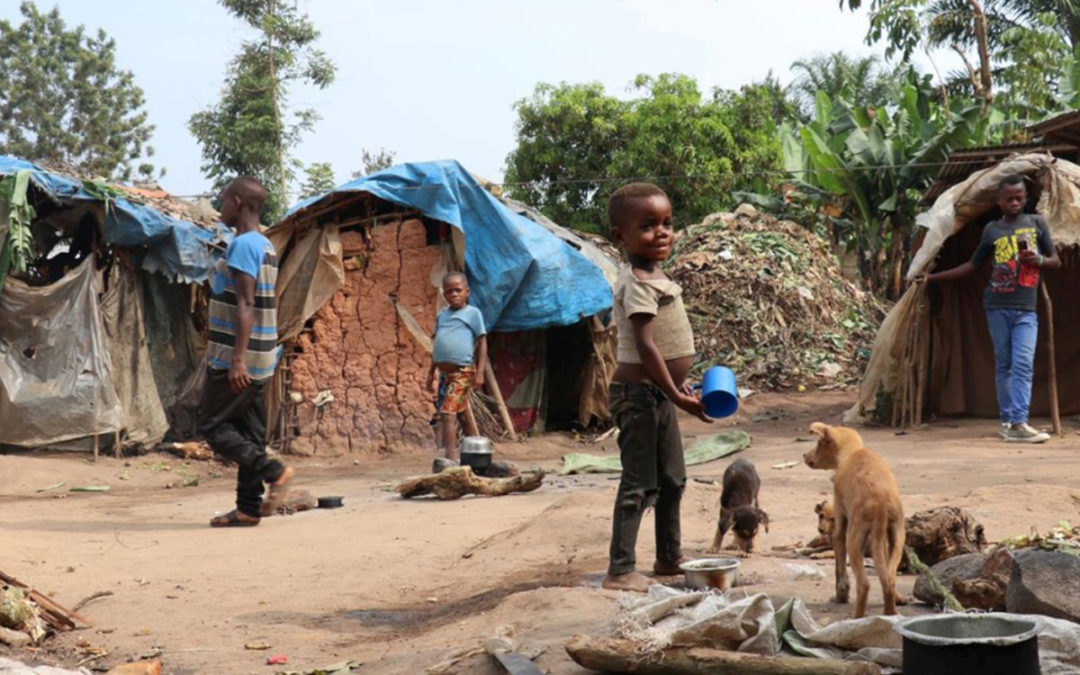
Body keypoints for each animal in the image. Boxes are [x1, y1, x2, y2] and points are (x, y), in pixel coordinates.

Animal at [803, 423, 902, 617]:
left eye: (818, 444)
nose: (804, 455)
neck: (852, 452)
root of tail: (880, 501)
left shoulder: (839, 525)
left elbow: (839, 568)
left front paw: (840, 596)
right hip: (896, 536)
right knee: (889, 579)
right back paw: (890, 614)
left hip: (854, 539)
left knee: (864, 584)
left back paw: (857, 618)